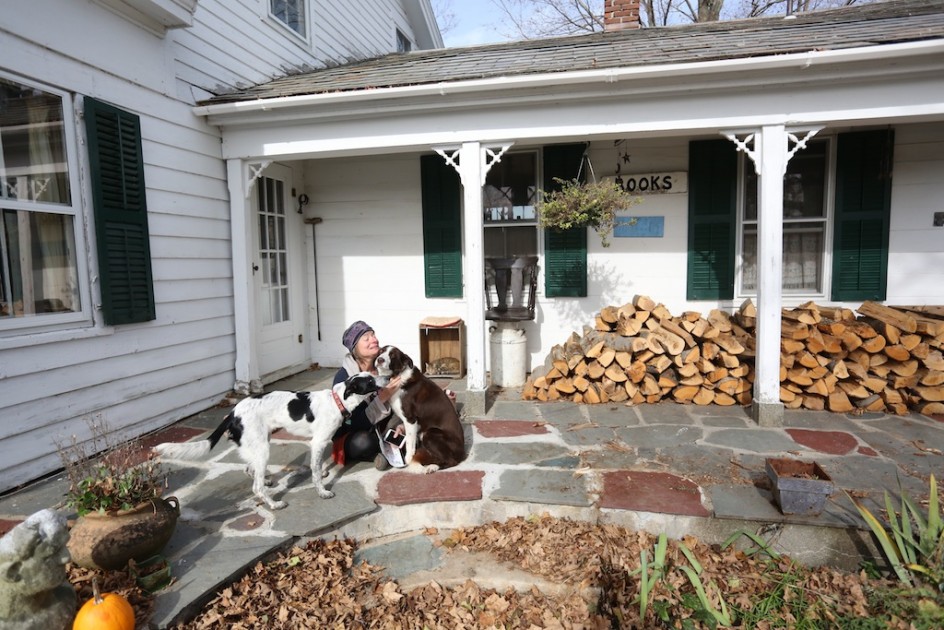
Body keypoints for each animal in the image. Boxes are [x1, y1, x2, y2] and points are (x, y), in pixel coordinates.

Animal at [153, 372, 378, 512]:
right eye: (370, 383)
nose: (384, 377)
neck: (337, 400)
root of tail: (233, 413)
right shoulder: (318, 442)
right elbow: (315, 471)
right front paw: (322, 491)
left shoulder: (318, 443)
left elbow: (318, 466)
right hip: (263, 449)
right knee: (256, 487)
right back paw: (274, 504)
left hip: (258, 444)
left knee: (249, 470)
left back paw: (267, 481)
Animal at [374, 346, 466, 474]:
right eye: (380, 351)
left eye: (392, 355)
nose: (380, 359)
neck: (397, 375)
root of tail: (462, 452)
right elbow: (407, 436)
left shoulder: (410, 419)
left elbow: (409, 441)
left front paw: (408, 458)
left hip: (430, 433)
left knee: (451, 461)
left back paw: (432, 467)